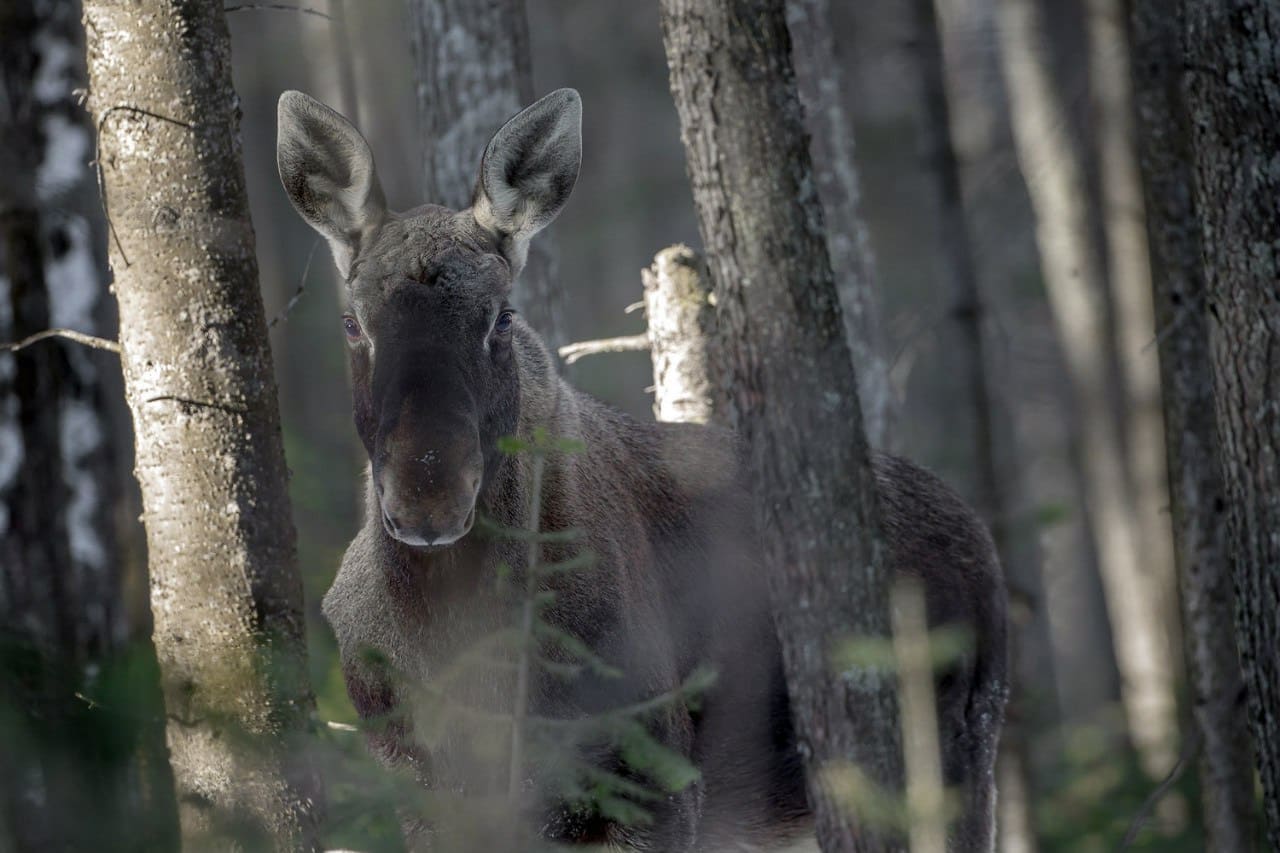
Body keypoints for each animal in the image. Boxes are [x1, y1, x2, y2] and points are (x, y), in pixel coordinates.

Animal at [280, 89, 1008, 845]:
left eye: (501, 317)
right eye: (353, 323)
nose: (429, 496)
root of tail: (983, 543)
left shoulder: (650, 776)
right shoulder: (419, 783)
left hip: (952, 762)